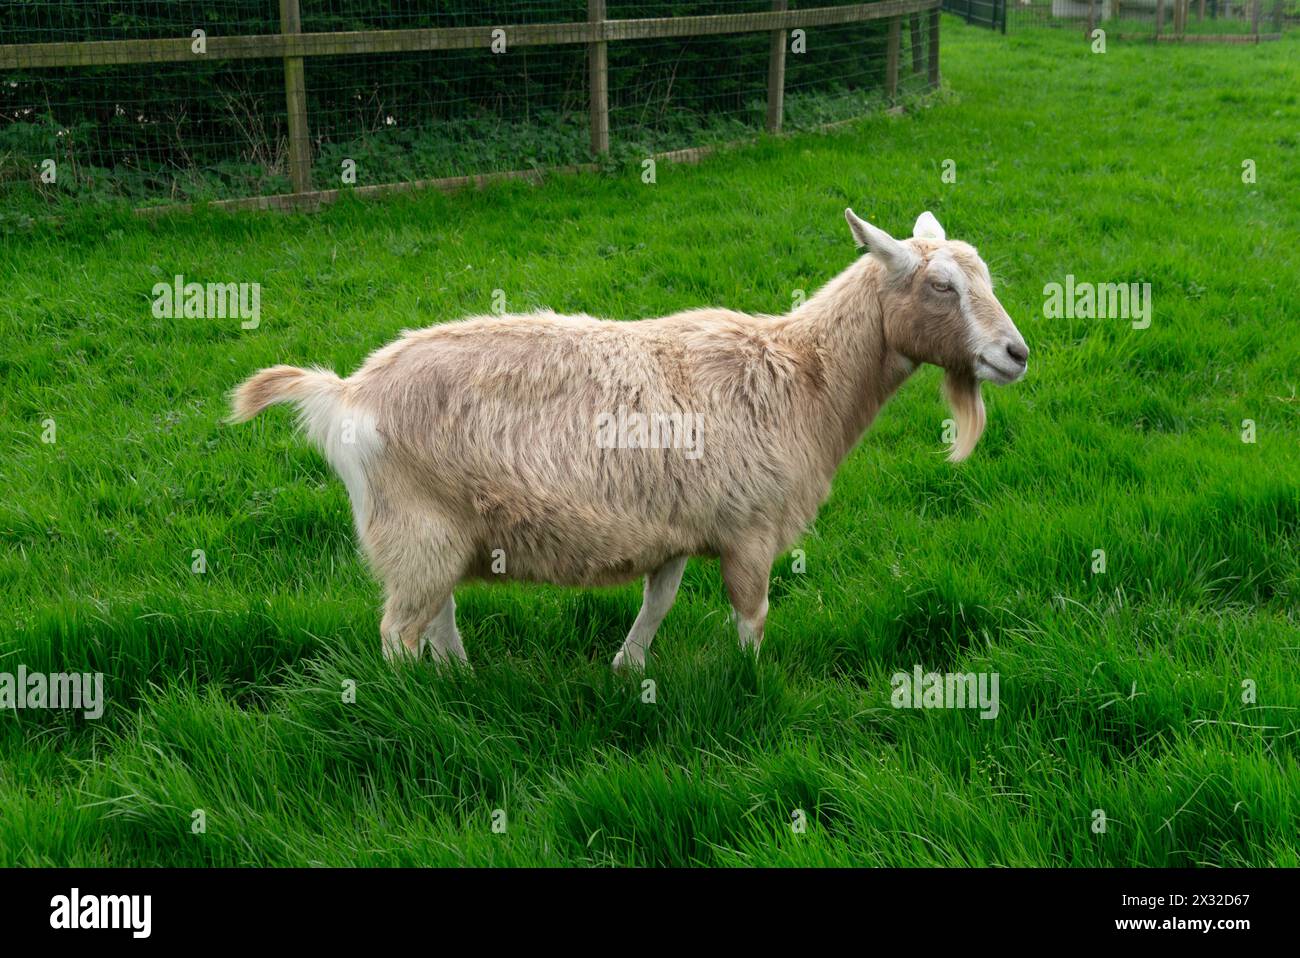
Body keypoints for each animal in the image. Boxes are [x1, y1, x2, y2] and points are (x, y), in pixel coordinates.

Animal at [231, 211, 1024, 670]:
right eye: (942, 287)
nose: (1015, 354)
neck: (802, 376)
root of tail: (346, 393)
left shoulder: (674, 523)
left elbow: (660, 600)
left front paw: (628, 666)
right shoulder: (750, 529)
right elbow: (752, 618)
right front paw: (748, 686)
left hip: (440, 531)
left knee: (437, 612)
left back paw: (459, 676)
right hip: (414, 526)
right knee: (399, 634)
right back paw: (419, 707)